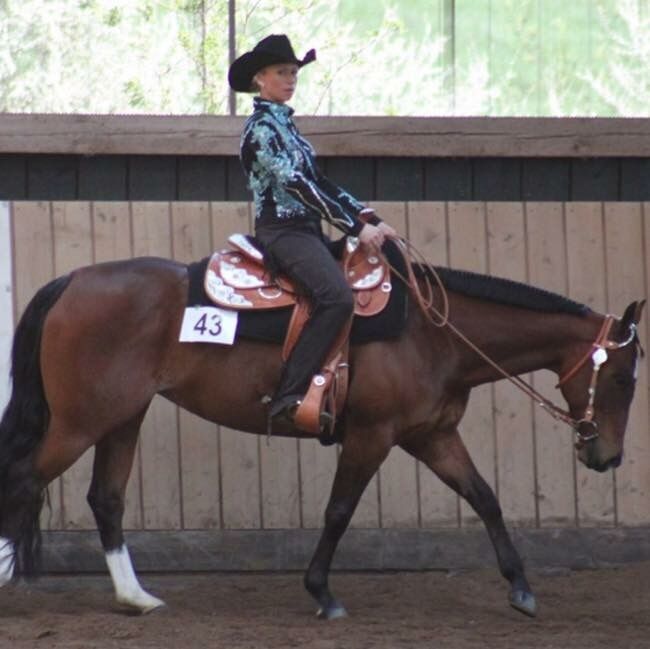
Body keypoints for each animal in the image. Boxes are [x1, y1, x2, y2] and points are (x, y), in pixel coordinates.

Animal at [0, 248, 640, 616]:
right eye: (624, 378)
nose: (607, 456)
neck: (433, 333)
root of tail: (73, 281)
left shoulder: (431, 436)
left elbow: (484, 497)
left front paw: (521, 589)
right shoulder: (372, 435)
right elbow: (339, 510)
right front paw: (322, 593)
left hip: (121, 417)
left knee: (105, 498)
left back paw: (136, 597)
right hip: (80, 421)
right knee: (23, 480)